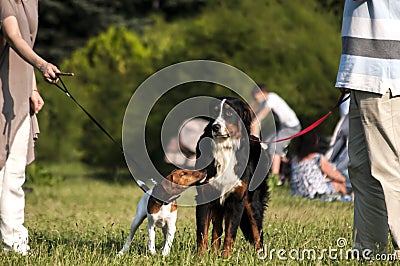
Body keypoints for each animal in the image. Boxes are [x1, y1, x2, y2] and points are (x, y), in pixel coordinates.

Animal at [195, 96, 268, 258]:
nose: (215, 127)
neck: (225, 149)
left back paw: (261, 257)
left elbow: (230, 232)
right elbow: (203, 232)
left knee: (257, 232)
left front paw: (226, 257)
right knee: (217, 230)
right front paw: (200, 258)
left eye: (229, 113)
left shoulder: (237, 199)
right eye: (214, 111)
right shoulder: (205, 197)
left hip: (252, 202)